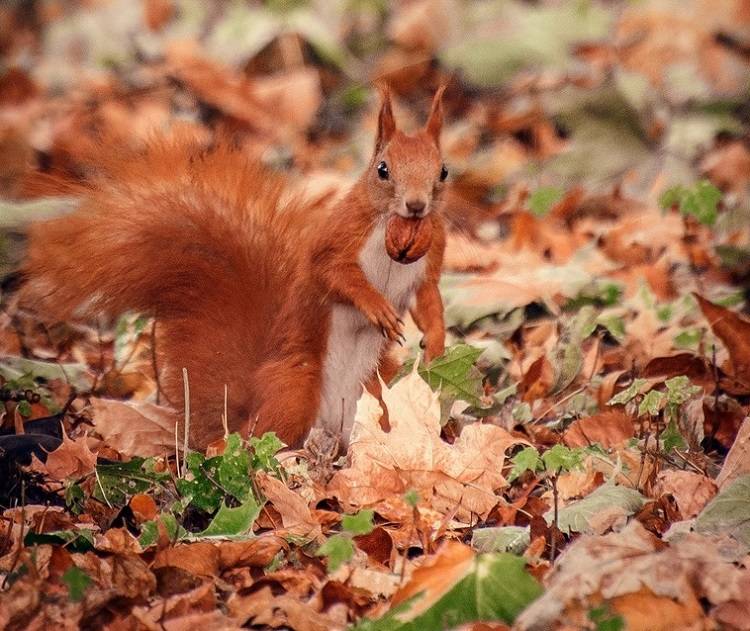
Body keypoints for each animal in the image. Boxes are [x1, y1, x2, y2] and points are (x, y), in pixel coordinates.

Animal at [22, 89, 446, 450]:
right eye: (383, 169)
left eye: (443, 171)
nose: (416, 206)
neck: (391, 227)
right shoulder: (339, 237)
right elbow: (333, 273)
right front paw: (375, 305)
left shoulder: (432, 253)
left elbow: (429, 298)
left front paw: (437, 342)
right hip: (294, 390)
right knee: (254, 440)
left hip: (376, 390)